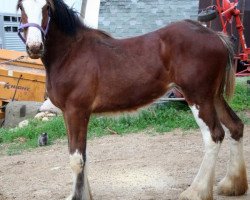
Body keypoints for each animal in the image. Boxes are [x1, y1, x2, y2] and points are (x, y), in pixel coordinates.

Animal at [17, 0, 248, 200]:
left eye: (47, 7)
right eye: (20, 6)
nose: (35, 46)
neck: (71, 53)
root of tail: (216, 36)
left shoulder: (76, 111)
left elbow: (76, 159)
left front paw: (76, 196)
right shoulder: (70, 114)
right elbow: (82, 156)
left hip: (198, 97)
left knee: (214, 136)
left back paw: (196, 192)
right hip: (214, 96)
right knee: (235, 126)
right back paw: (232, 185)